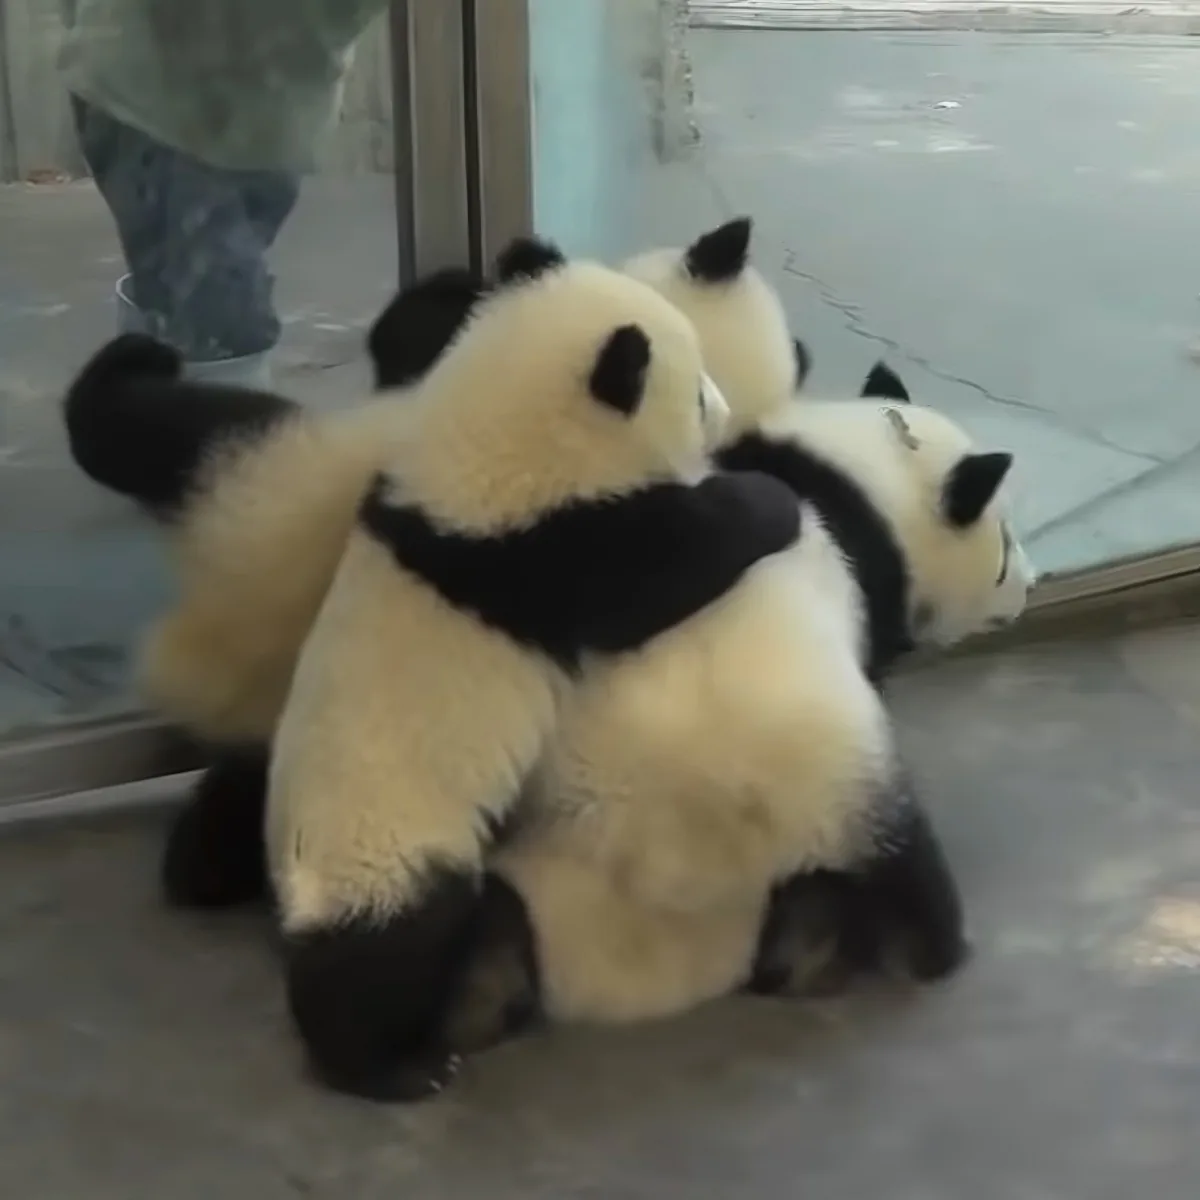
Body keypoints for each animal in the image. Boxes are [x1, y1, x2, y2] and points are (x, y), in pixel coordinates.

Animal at [260, 239, 804, 1102]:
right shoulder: (548, 554)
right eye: (694, 390)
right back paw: (393, 1066)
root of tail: (299, 891)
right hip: (395, 849)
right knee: (381, 961)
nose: (720, 410)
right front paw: (766, 497)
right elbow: (669, 566)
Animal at [437, 382, 1036, 1058]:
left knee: (489, 928)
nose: (1031, 585)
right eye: (1005, 545)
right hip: (836, 793)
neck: (867, 474)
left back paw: (474, 1009)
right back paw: (922, 952)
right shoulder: (868, 582)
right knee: (904, 867)